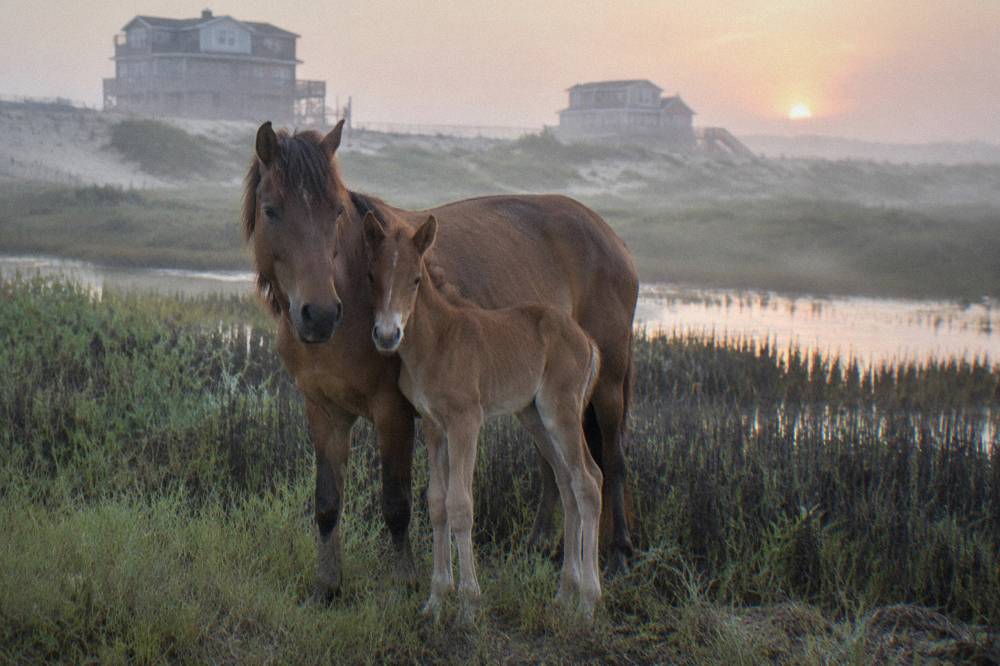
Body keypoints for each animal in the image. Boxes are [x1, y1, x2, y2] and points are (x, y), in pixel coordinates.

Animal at [362, 212, 604, 619]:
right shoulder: (433, 425)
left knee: (588, 481)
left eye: (415, 279)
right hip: (534, 417)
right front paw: (435, 600)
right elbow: (437, 503)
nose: (387, 335)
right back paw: (564, 594)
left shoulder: (466, 421)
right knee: (566, 481)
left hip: (562, 412)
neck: (436, 341)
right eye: (372, 277)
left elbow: (460, 505)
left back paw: (588, 603)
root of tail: (587, 340)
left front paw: (468, 606)